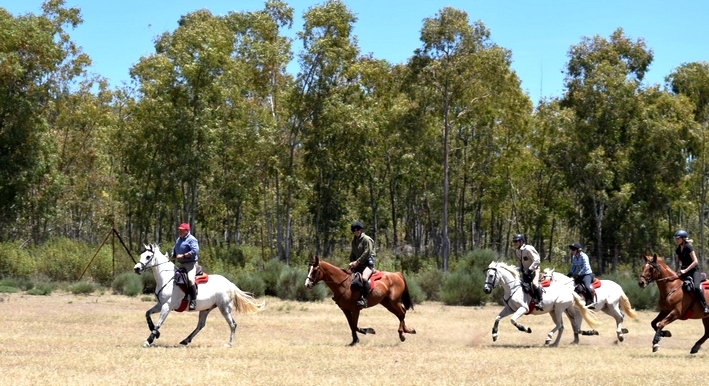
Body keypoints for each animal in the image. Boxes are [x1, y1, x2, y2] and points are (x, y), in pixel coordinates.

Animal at [133, 244, 266, 346]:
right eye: (141, 255)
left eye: (148, 256)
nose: (136, 268)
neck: (167, 279)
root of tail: (230, 283)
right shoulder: (160, 305)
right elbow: (147, 314)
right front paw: (156, 334)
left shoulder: (167, 306)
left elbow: (159, 323)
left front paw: (149, 340)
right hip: (205, 309)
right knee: (201, 325)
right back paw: (185, 340)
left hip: (224, 308)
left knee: (232, 324)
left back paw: (229, 344)